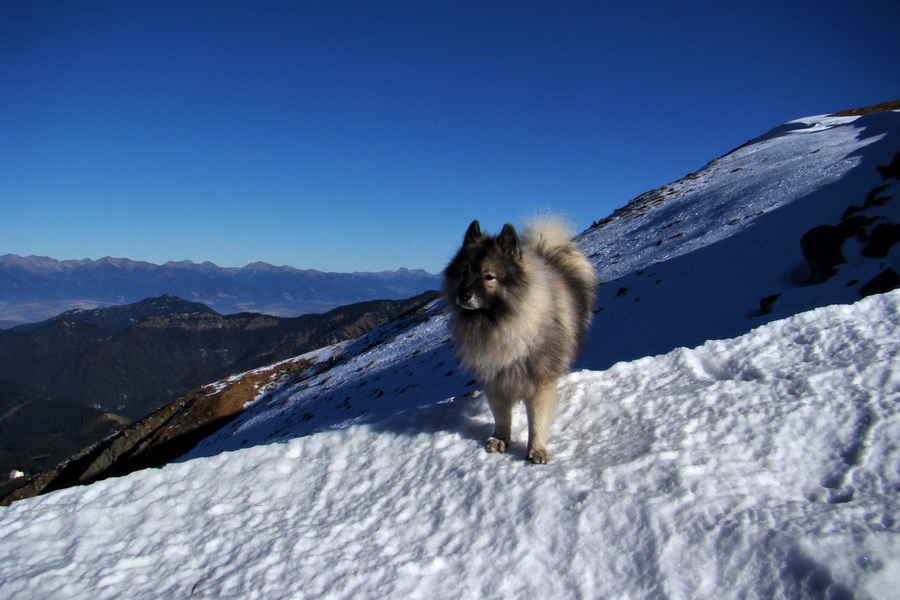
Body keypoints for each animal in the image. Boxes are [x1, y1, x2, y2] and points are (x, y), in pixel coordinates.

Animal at [442, 218, 596, 462]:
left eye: (489, 276)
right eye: (464, 273)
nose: (463, 295)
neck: (500, 325)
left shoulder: (538, 382)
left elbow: (537, 420)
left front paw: (536, 449)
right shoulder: (494, 379)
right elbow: (501, 415)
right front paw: (500, 438)